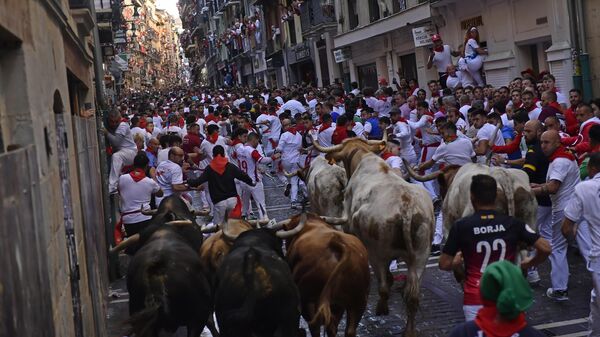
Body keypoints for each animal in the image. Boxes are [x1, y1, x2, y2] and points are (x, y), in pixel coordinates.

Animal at [312, 135, 434, 336]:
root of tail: (407, 206)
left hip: (377, 253)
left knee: (384, 285)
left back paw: (381, 308)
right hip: (421, 256)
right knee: (412, 296)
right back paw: (409, 330)